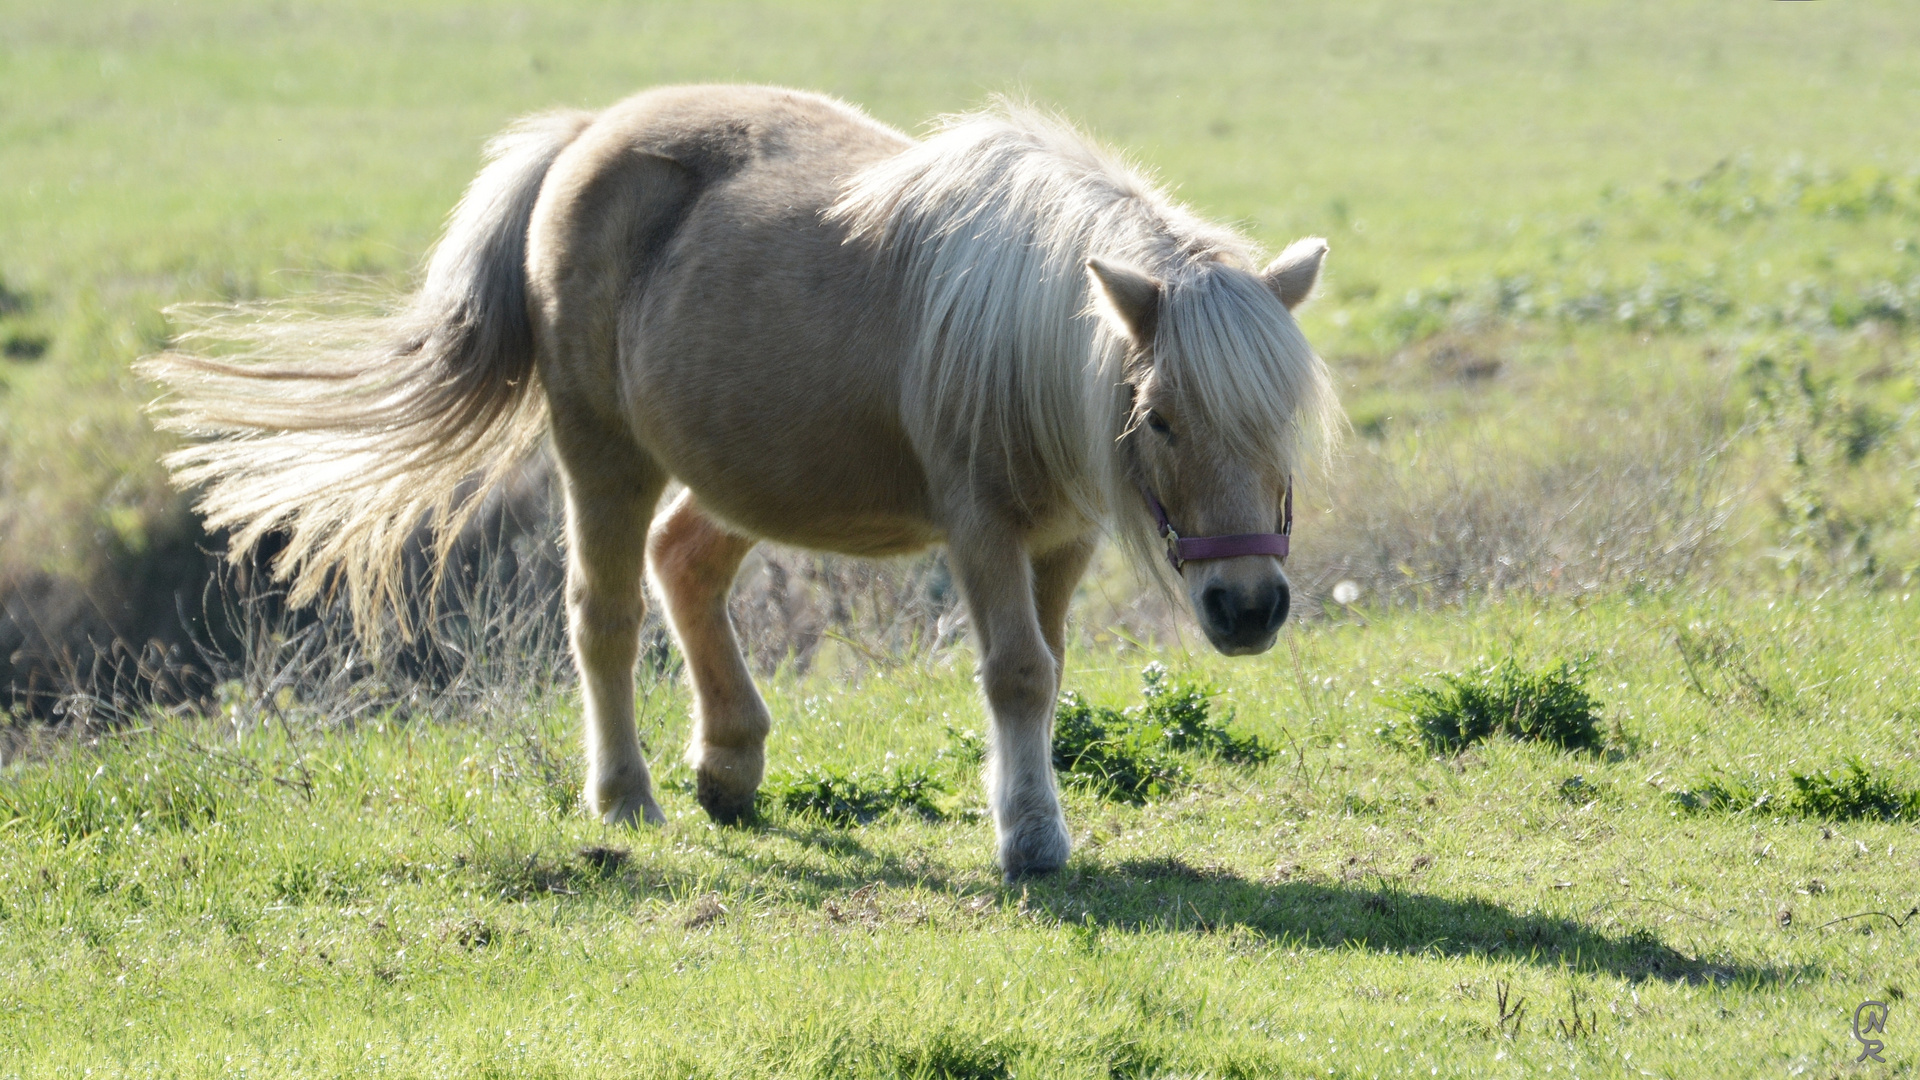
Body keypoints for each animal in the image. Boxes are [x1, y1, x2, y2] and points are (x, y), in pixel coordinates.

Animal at [142, 84, 1336, 876]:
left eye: (1279, 415)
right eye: (1162, 418)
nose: (1247, 607)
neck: (1020, 335)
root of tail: (581, 138)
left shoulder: (1061, 535)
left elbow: (1042, 672)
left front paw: (1024, 814)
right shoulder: (983, 528)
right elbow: (1017, 674)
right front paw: (1032, 840)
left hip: (744, 472)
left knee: (686, 564)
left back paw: (728, 761)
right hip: (602, 451)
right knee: (607, 613)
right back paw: (627, 797)